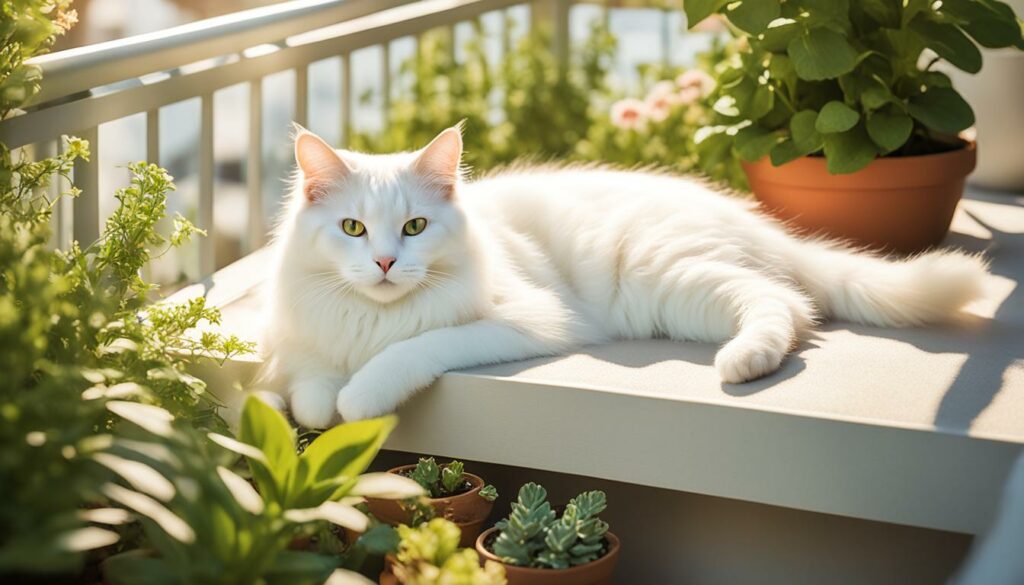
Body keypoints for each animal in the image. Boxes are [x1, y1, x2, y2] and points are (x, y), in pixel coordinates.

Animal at [260, 127, 987, 430]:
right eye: (353, 229)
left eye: (413, 228)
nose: (385, 263)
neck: (371, 317)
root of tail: (760, 225)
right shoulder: (306, 345)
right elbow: (309, 394)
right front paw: (327, 401)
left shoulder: (527, 319)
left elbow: (406, 352)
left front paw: (361, 396)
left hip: (667, 274)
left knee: (785, 302)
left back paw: (743, 362)